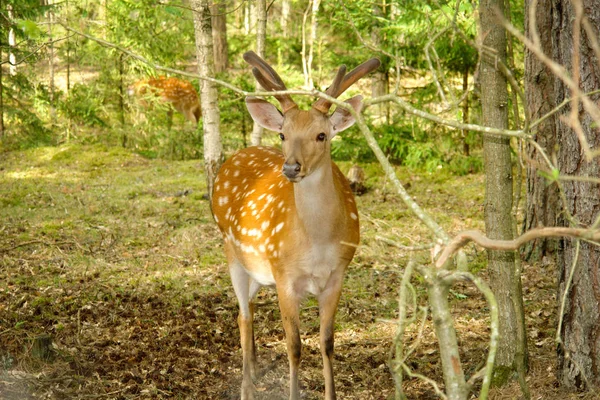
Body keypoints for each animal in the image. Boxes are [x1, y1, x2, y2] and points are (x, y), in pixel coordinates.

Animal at [212, 53, 380, 400]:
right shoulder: (285, 275)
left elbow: (327, 342)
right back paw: (246, 389)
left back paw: (255, 371)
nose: (291, 167)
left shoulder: (337, 274)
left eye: (322, 135)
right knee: (243, 315)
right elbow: (294, 346)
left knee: (247, 310)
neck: (317, 243)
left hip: (258, 270)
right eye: (283, 135)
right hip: (232, 251)